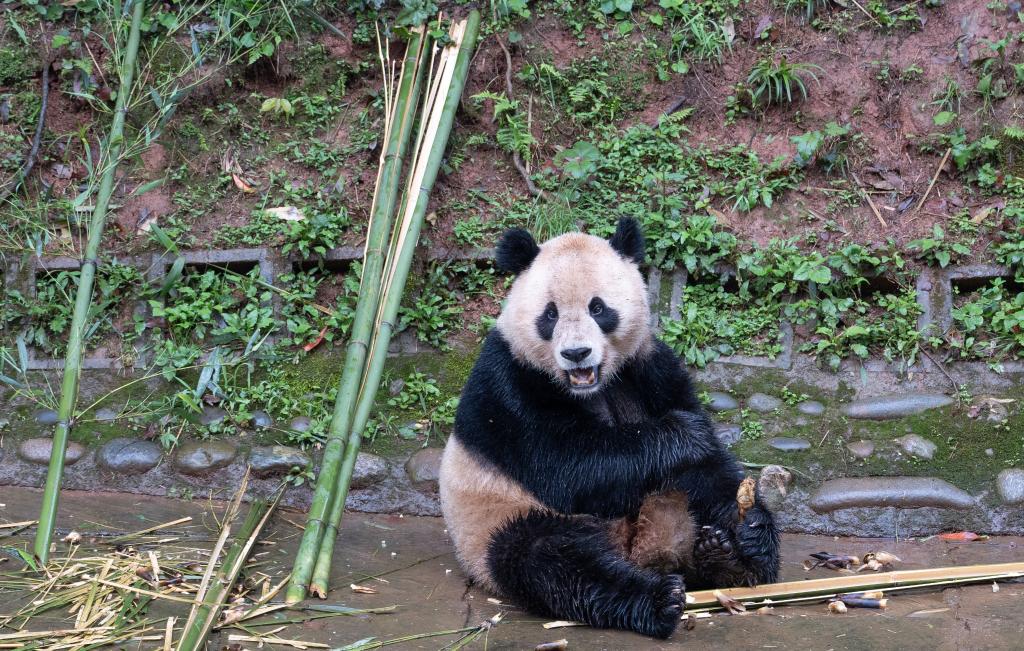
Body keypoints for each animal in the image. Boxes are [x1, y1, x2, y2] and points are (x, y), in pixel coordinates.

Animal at [436, 217, 778, 634]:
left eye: (598, 308)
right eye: (550, 314)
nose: (576, 353)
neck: (592, 386)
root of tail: (635, 552)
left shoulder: (650, 366)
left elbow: (709, 468)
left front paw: (754, 533)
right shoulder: (508, 383)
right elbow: (568, 467)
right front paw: (684, 433)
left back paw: (725, 561)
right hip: (496, 521)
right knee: (552, 560)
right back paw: (657, 599)